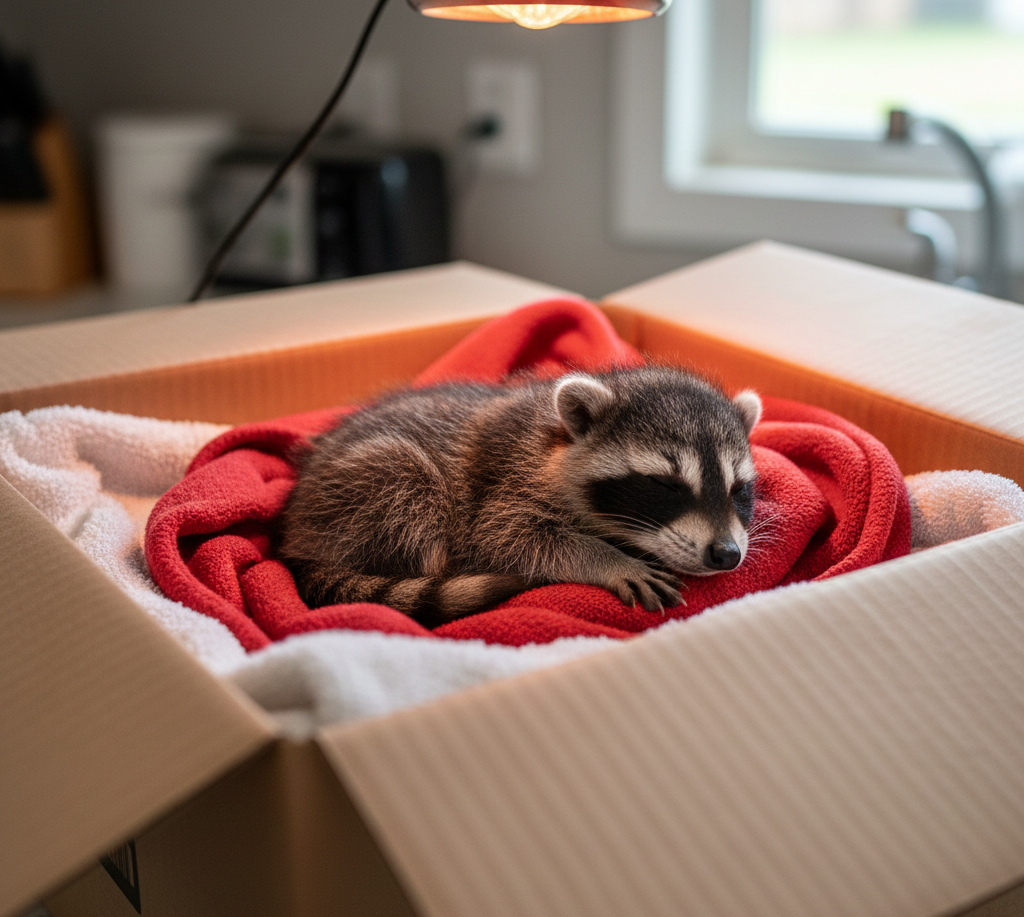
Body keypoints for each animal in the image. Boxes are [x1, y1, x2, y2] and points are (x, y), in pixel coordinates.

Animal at [278, 365, 762, 627]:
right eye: (665, 485)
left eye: (739, 489)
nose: (726, 554)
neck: (558, 442)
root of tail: (294, 532)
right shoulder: (504, 482)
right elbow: (506, 539)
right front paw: (607, 559)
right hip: (374, 486)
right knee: (411, 487)